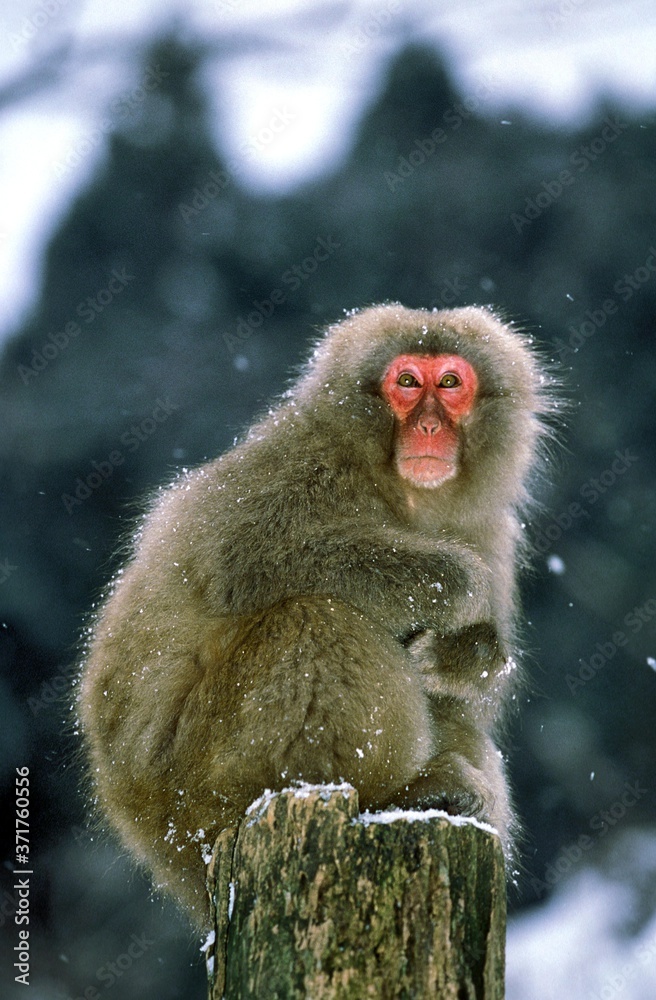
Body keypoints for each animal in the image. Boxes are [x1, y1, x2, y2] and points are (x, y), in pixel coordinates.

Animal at [77, 303, 554, 926]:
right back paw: (397, 792)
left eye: (450, 383)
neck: (401, 491)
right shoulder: (298, 463)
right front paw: (456, 584)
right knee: (316, 618)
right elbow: (245, 558)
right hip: (197, 785)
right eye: (407, 382)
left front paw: (463, 654)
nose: (429, 427)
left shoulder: (491, 529)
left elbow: (474, 690)